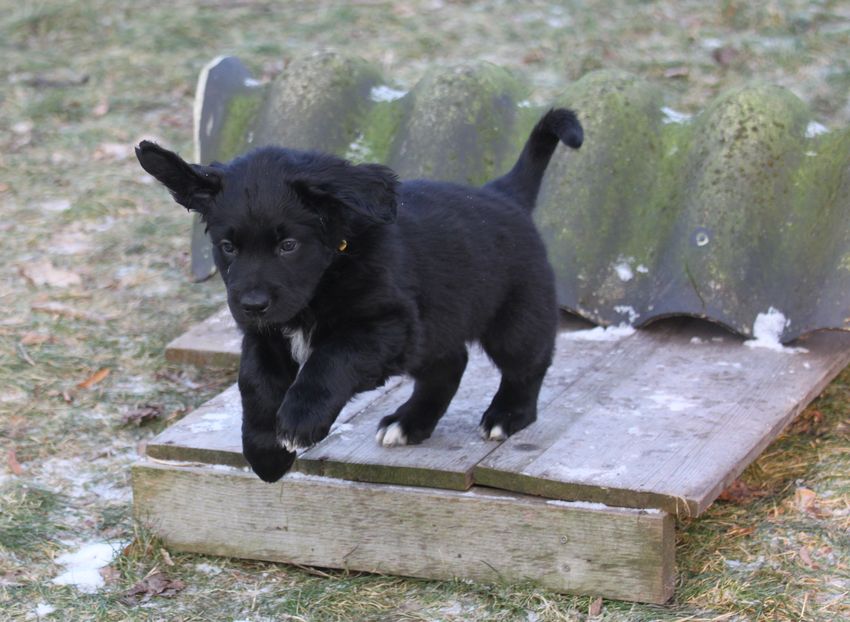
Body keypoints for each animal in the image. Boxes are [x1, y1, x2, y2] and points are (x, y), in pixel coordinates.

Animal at [136, 107, 582, 482]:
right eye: (228, 247)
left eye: (288, 246)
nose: (252, 305)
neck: (331, 268)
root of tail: (504, 192)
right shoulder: (266, 336)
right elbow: (255, 382)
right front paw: (265, 451)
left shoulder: (383, 325)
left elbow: (329, 361)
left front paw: (299, 421)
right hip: (435, 327)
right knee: (449, 365)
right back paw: (410, 423)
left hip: (516, 315)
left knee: (527, 364)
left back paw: (508, 414)